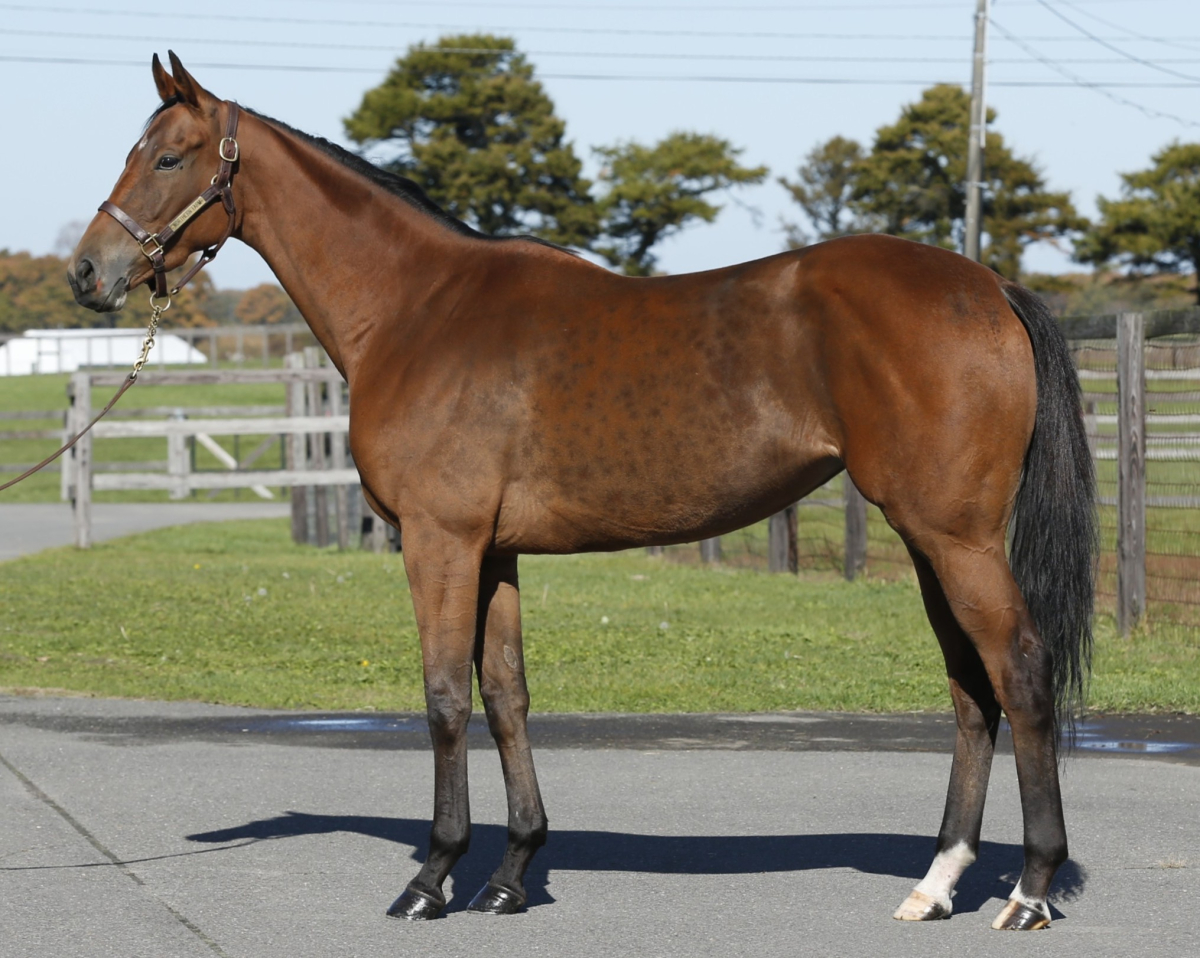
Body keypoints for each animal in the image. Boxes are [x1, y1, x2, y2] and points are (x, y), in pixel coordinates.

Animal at [67, 53, 1096, 932]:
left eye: (168, 156)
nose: (87, 272)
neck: (418, 308)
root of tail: (989, 285)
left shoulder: (439, 540)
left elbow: (444, 697)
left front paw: (432, 878)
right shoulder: (496, 551)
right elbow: (506, 694)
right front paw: (513, 874)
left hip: (954, 536)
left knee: (1019, 671)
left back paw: (1029, 889)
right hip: (928, 540)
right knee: (970, 689)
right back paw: (938, 882)